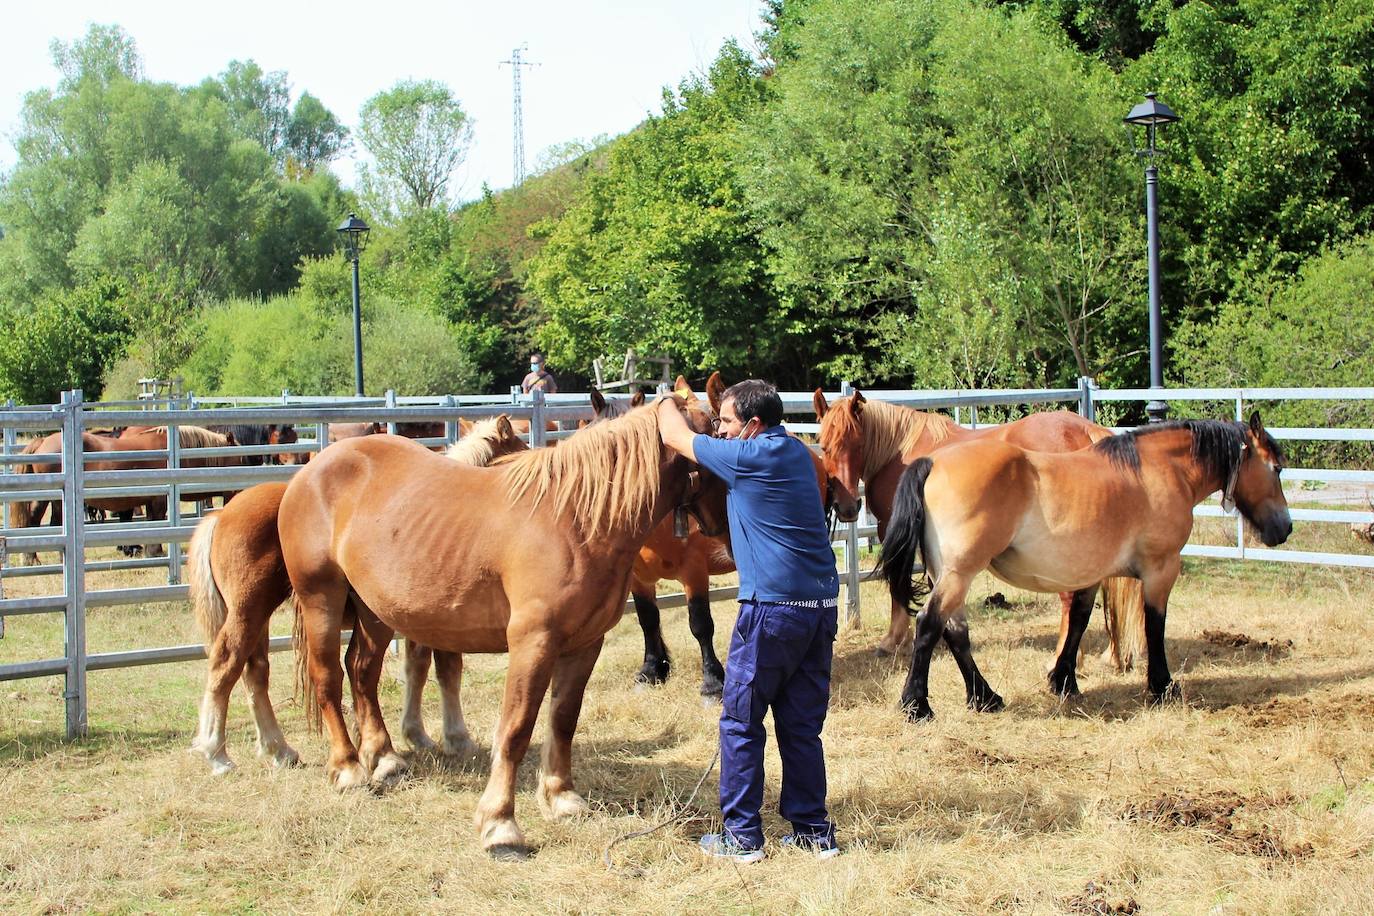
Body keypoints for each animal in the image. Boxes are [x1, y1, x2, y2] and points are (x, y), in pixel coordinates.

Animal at [190, 420, 533, 780]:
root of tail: (221, 516)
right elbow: (446, 669)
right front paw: (454, 738)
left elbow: (417, 668)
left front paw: (416, 734)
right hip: (252, 610)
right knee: (228, 663)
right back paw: (217, 753)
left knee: (255, 670)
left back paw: (279, 749)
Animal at [281, 384, 730, 851]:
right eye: (723, 435)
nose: (723, 533)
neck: (577, 519)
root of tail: (314, 467)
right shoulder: (533, 643)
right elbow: (516, 728)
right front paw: (500, 823)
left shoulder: (584, 645)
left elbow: (562, 720)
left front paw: (562, 798)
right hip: (322, 599)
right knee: (327, 677)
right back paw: (348, 768)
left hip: (375, 610)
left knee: (362, 671)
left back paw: (384, 759)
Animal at [879, 414, 1286, 725]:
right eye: (1277, 468)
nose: (1284, 528)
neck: (1158, 470)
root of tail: (933, 462)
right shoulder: (1161, 570)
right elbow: (1154, 626)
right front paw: (1162, 686)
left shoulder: (1091, 575)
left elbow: (1078, 620)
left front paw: (1063, 681)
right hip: (958, 574)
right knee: (929, 625)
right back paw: (917, 705)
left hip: (947, 574)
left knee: (955, 633)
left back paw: (985, 698)